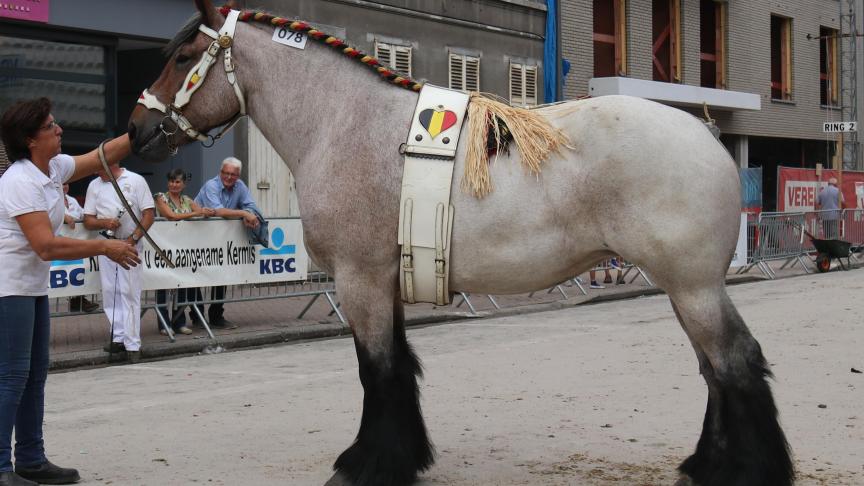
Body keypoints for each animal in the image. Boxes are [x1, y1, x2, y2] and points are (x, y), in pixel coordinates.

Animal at [125, 1, 792, 484]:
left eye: (183, 55)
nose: (137, 130)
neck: (346, 123)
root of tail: (705, 135)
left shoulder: (359, 280)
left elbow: (377, 370)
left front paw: (367, 464)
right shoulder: (384, 280)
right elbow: (398, 367)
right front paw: (402, 456)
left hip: (692, 286)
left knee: (734, 364)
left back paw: (743, 470)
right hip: (685, 287)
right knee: (715, 370)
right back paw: (704, 465)